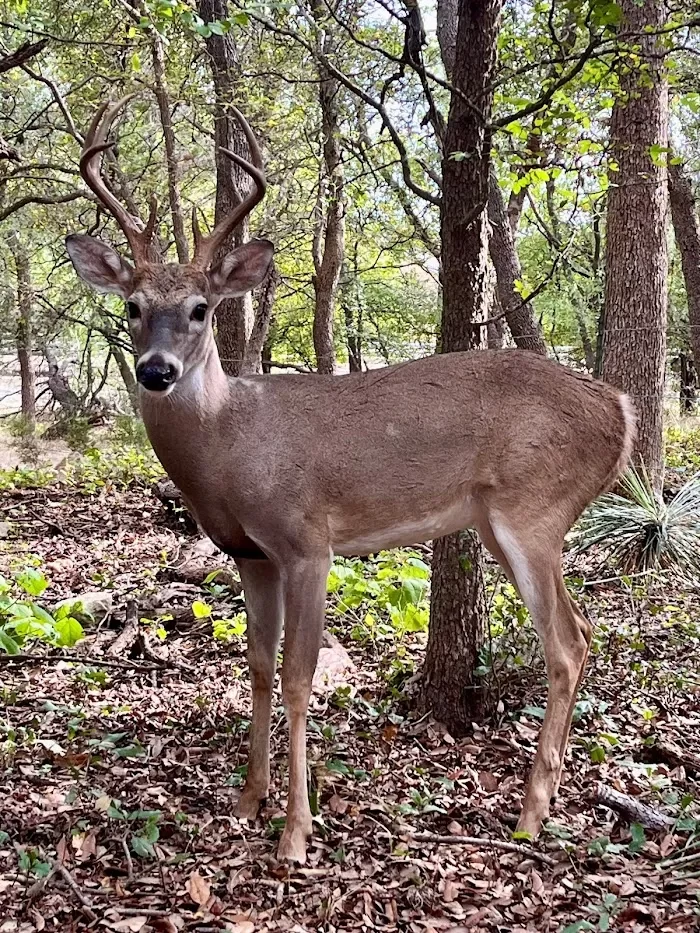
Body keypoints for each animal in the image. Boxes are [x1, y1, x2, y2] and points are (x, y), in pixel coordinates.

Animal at [68, 98, 636, 864]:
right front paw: (248, 801)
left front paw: (296, 831)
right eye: (131, 306)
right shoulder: (249, 554)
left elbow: (300, 676)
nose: (156, 370)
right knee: (583, 628)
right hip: (503, 520)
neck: (231, 446)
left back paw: (529, 814)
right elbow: (256, 665)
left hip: (534, 508)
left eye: (200, 309)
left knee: (568, 643)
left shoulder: (308, 540)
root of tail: (621, 410)